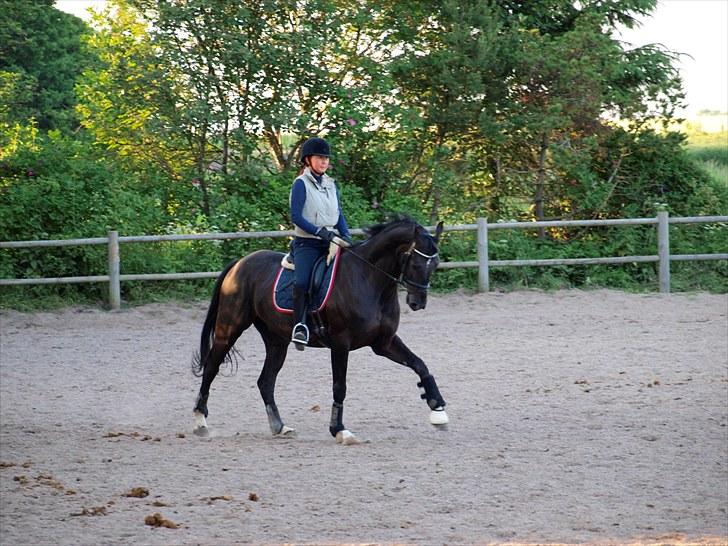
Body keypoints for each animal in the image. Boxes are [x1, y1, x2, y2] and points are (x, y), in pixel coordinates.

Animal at [191, 216, 446, 442]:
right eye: (415, 263)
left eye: (435, 264)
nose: (418, 302)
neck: (369, 279)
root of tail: (239, 263)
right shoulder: (341, 343)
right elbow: (339, 386)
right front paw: (339, 430)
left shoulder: (383, 343)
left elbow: (420, 365)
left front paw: (438, 409)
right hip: (229, 329)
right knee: (212, 367)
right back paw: (200, 421)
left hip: (276, 340)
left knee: (265, 381)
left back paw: (280, 427)